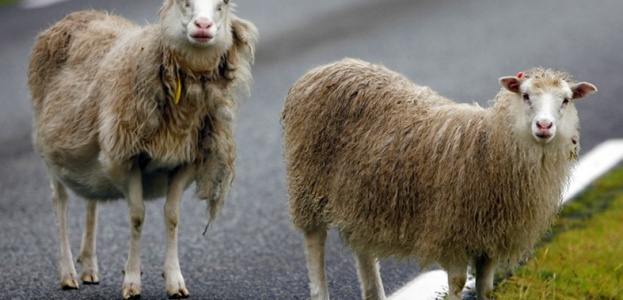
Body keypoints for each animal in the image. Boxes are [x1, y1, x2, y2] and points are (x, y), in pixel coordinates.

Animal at [28, 1, 258, 298]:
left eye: (223, 5)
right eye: (183, 3)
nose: (203, 26)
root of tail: (80, 14)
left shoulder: (184, 161)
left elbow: (172, 217)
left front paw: (174, 280)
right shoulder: (128, 159)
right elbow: (137, 217)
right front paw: (132, 281)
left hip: (92, 147)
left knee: (91, 200)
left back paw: (89, 266)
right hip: (50, 151)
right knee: (60, 203)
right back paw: (68, 273)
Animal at [282, 58, 600, 300]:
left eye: (566, 100)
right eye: (525, 96)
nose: (544, 126)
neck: (491, 145)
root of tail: (328, 67)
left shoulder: (492, 236)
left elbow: (486, 286)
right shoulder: (453, 231)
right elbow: (457, 284)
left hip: (361, 194)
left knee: (363, 250)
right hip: (307, 184)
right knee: (314, 242)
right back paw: (320, 292)